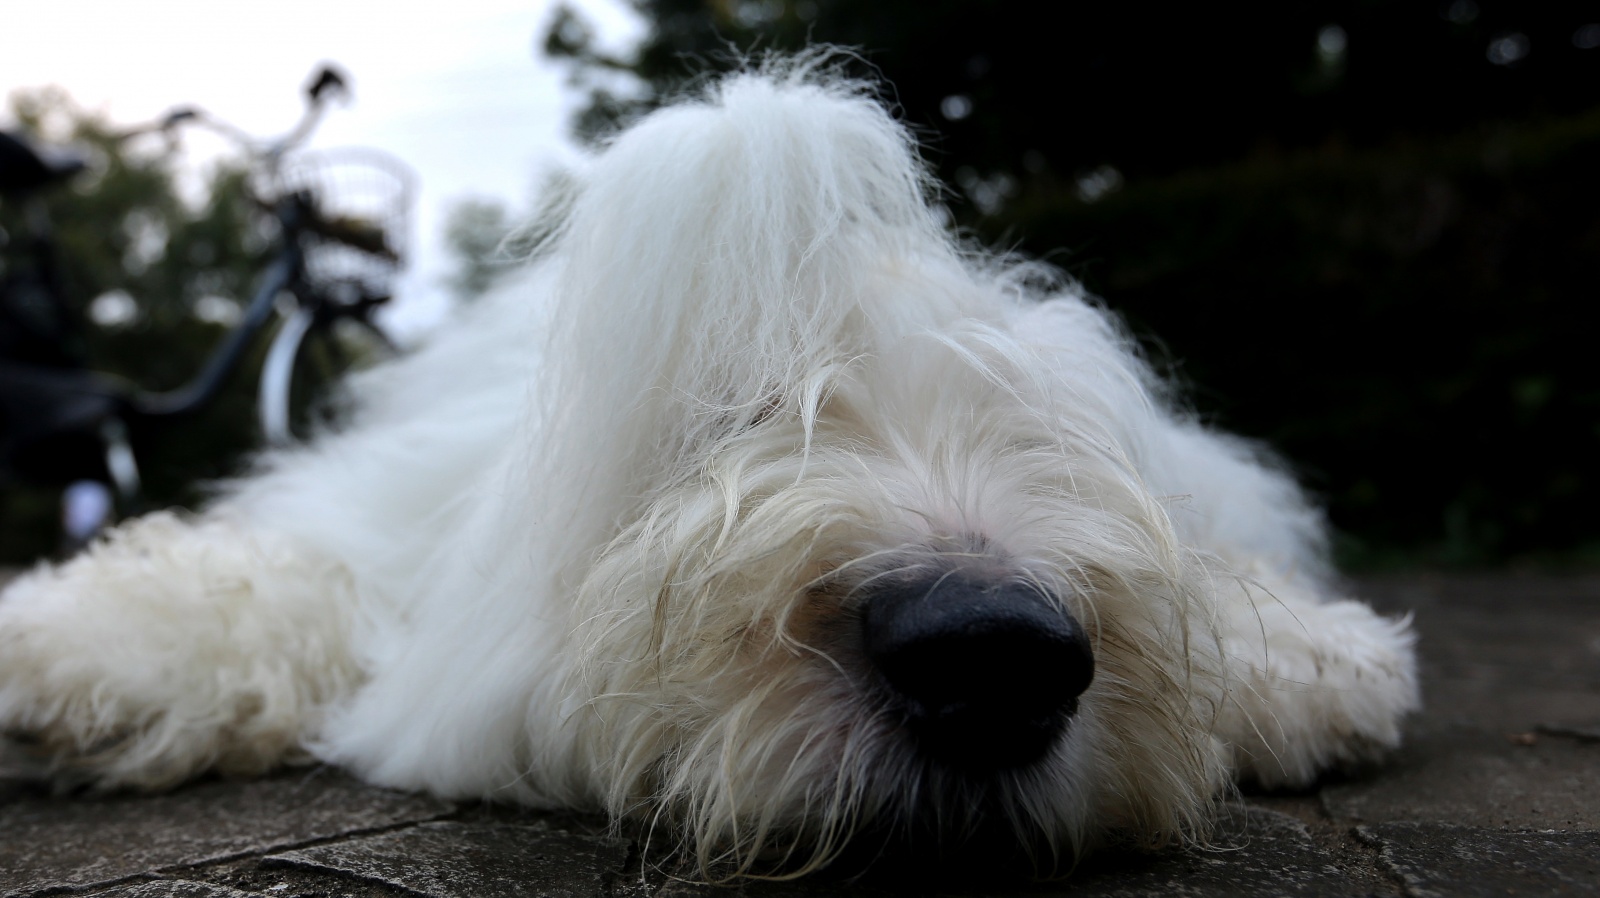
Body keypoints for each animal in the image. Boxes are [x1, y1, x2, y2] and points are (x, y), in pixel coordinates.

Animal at [0, 58, 1418, 877]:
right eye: (730, 411)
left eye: (1044, 433)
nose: (990, 652)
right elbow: (273, 584)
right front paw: (61, 656)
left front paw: (1312, 669)